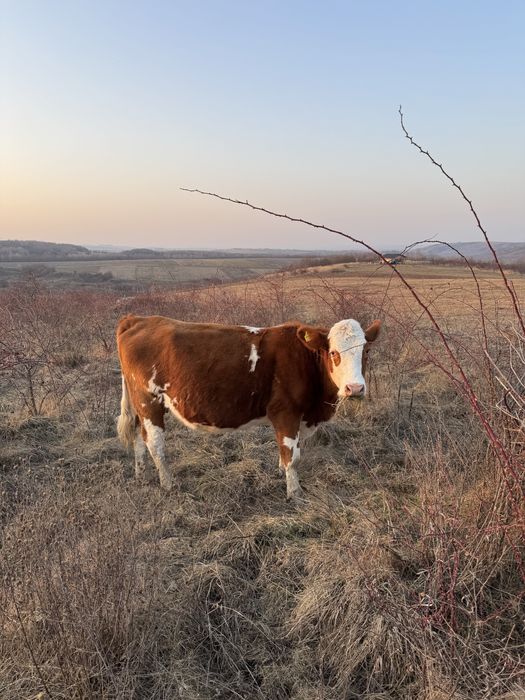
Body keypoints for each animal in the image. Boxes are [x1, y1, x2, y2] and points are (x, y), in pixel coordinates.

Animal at [116, 315, 381, 500]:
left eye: (366, 351)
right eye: (334, 353)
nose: (355, 388)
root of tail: (138, 319)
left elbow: (284, 454)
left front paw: (280, 473)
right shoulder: (286, 413)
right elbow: (293, 457)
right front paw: (294, 493)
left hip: (140, 404)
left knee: (139, 437)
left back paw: (141, 475)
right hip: (149, 401)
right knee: (155, 443)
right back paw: (169, 484)